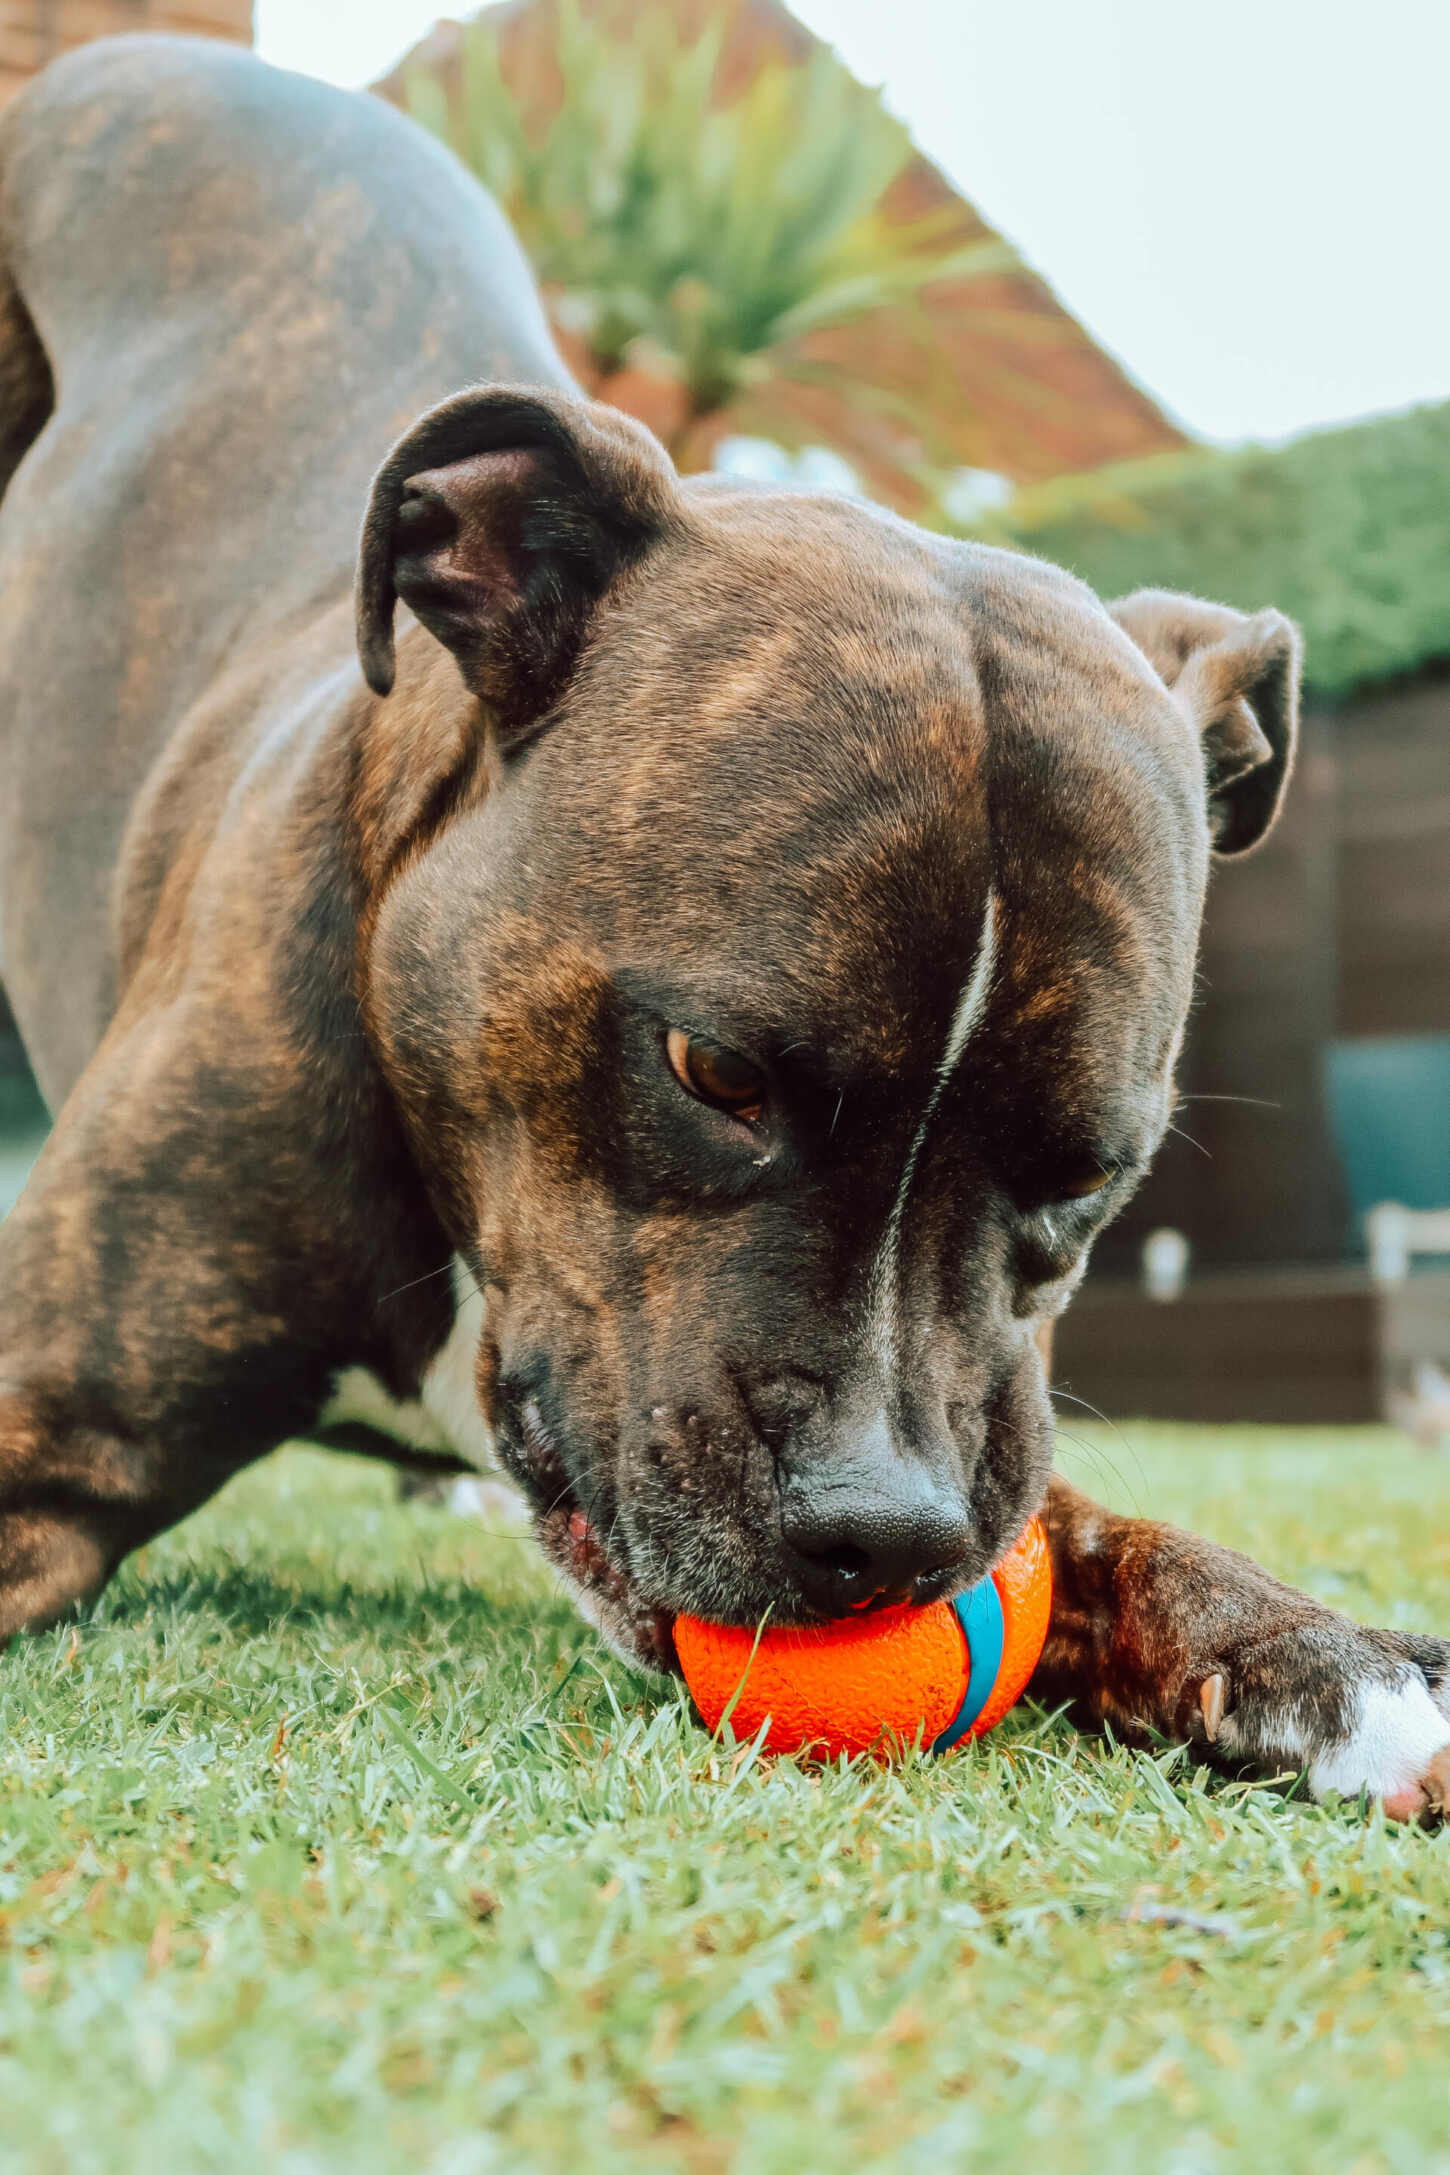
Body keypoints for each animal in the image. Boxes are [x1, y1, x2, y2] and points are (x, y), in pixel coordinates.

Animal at [2, 42, 1450, 1827]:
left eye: (1089, 1177)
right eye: (713, 1072)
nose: (886, 1529)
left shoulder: (995, 1450)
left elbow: (1105, 1538)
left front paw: (1332, 1660)